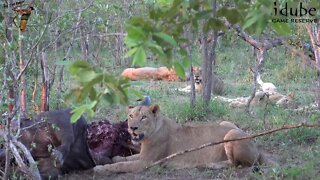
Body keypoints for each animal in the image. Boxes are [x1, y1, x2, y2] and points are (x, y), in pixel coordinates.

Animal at [93, 105, 270, 174]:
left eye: (143, 117)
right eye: (131, 116)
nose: (132, 128)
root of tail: (257, 146)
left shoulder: (146, 163)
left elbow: (122, 165)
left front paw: (101, 168)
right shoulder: (142, 156)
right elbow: (126, 158)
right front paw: (114, 158)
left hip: (231, 134)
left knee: (238, 165)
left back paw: (211, 165)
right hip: (227, 123)